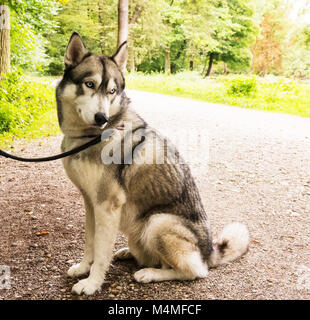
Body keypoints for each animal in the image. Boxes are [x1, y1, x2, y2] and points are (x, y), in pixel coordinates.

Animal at [55, 32, 249, 296]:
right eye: (89, 84)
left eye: (112, 91)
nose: (101, 118)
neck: (88, 137)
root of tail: (210, 251)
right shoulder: (90, 202)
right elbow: (90, 242)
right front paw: (84, 267)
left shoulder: (107, 205)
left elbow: (101, 251)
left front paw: (92, 283)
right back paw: (129, 253)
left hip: (157, 222)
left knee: (195, 271)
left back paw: (150, 273)